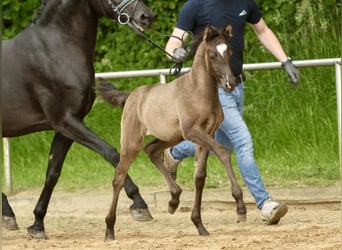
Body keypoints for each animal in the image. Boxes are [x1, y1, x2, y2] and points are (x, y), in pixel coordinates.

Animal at [1, 0, 154, 239]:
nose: (146, 17)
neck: (55, 49)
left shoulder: (65, 128)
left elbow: (52, 173)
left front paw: (37, 224)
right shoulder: (67, 121)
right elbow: (112, 153)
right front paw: (139, 204)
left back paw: (8, 215)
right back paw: (8, 214)